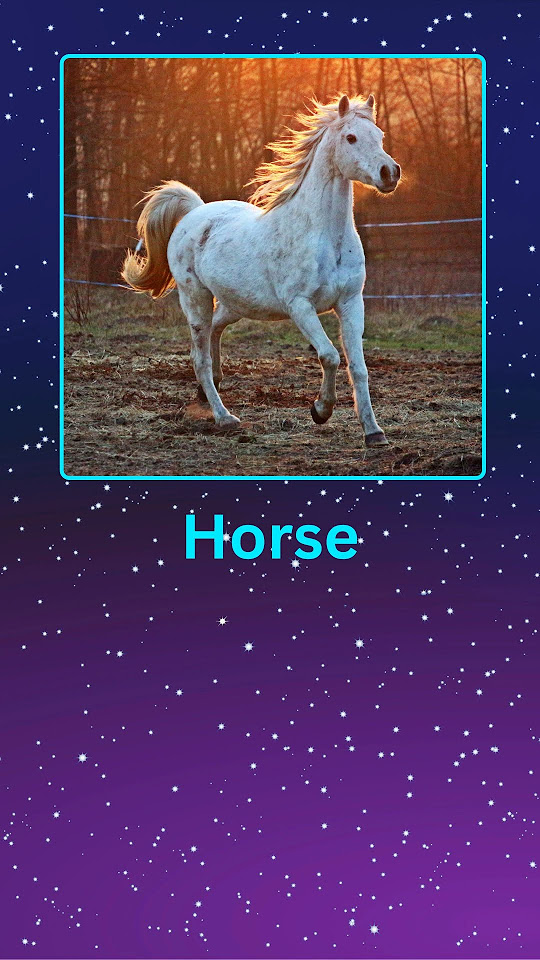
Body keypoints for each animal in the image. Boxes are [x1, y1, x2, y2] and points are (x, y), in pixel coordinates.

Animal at [122, 93, 401, 447]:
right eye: (350, 137)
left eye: (379, 135)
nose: (390, 172)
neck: (324, 236)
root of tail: (195, 212)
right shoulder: (300, 306)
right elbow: (330, 356)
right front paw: (320, 410)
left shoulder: (351, 302)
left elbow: (359, 368)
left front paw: (374, 432)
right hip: (195, 299)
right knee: (200, 357)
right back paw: (224, 417)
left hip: (236, 304)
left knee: (215, 333)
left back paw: (208, 391)